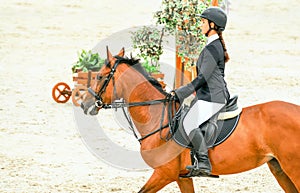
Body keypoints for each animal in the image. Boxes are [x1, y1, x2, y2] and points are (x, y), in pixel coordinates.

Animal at [81, 47, 300, 193]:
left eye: (99, 76)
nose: (85, 104)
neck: (157, 116)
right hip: (280, 170)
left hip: (293, 168)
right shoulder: (182, 177)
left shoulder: (163, 174)